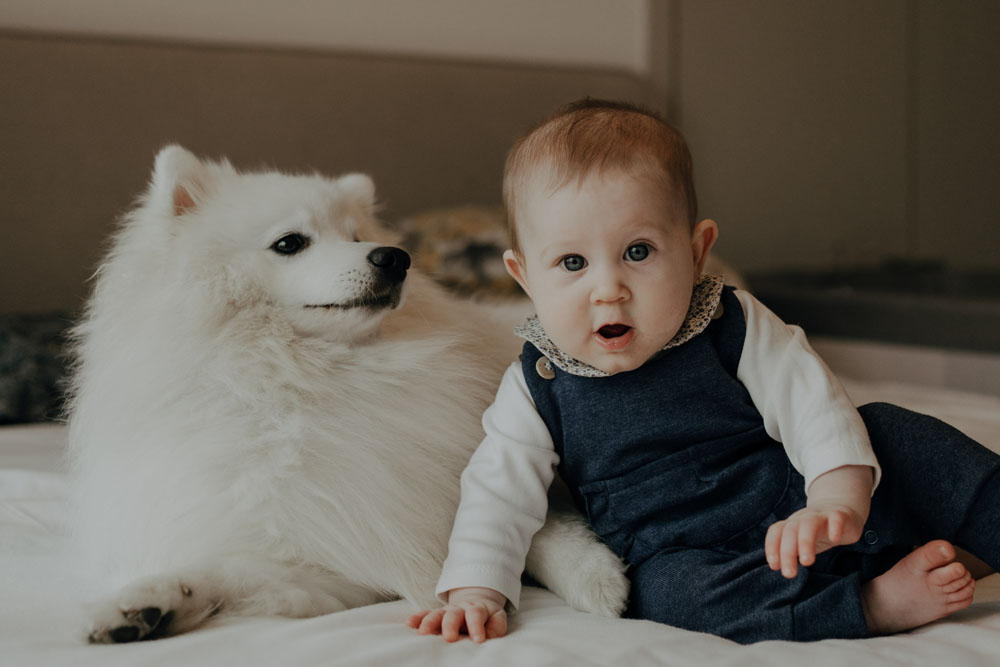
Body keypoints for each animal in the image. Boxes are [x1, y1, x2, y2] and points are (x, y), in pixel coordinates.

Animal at [68, 146, 624, 640]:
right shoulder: (333, 534)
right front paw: (146, 603)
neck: (317, 378)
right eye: (290, 243)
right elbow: (229, 570)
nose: (395, 258)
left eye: (357, 235)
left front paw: (596, 577)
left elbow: (541, 530)